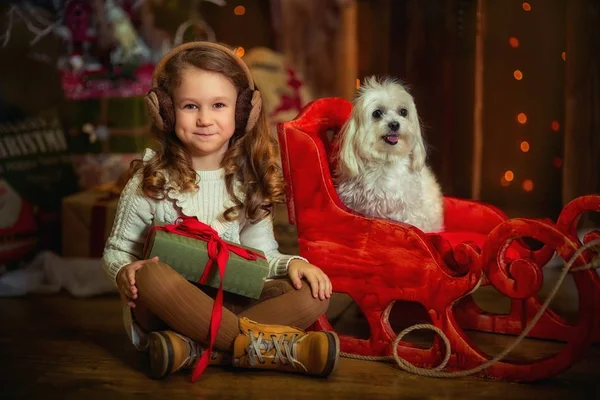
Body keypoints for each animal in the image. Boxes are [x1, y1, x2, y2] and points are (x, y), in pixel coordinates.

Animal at [332, 77, 446, 233]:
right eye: (377, 113)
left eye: (403, 112)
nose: (394, 124)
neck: (385, 161)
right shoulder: (354, 204)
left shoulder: (407, 211)